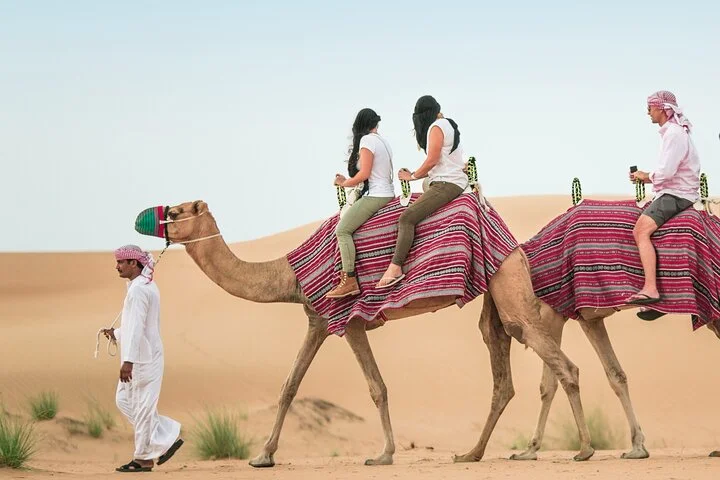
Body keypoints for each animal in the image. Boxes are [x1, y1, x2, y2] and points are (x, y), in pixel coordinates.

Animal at [154, 199, 596, 468]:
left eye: (175, 211)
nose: (154, 221)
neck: (289, 275)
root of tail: (514, 243)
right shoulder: (317, 320)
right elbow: (289, 385)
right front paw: (263, 455)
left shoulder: (348, 320)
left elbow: (376, 387)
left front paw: (384, 455)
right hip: (496, 293)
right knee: (501, 370)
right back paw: (471, 454)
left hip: (507, 285)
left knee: (563, 365)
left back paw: (585, 450)